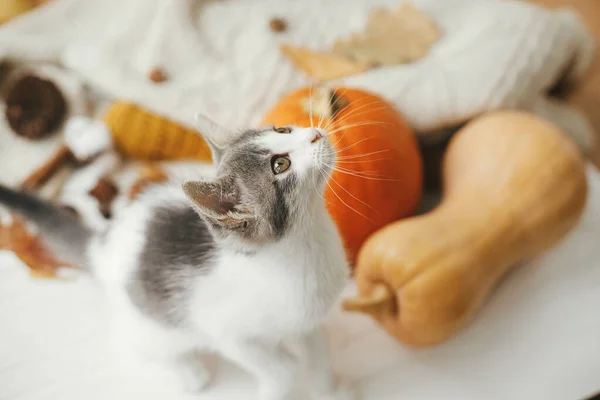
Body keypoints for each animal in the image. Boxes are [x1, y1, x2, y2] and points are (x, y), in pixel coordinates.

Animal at [0, 115, 354, 400]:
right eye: (280, 165)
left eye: (282, 129)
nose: (315, 134)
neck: (307, 242)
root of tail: (104, 243)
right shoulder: (227, 333)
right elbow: (283, 369)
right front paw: (279, 383)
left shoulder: (308, 320)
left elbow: (319, 357)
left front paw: (331, 391)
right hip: (153, 324)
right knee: (131, 345)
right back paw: (185, 372)